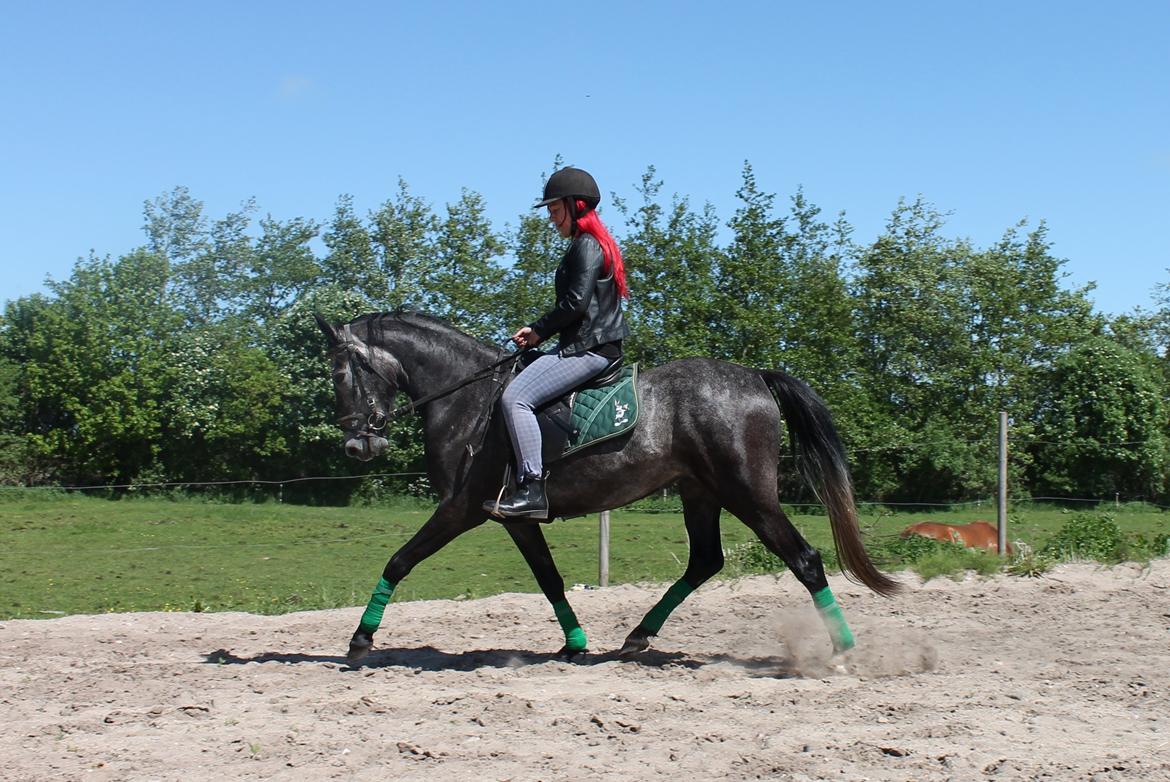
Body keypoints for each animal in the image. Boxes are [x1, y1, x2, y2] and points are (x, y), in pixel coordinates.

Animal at [315, 309, 898, 664]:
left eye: (342, 375)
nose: (356, 447)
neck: (469, 399)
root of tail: (755, 377)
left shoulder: (460, 509)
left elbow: (399, 560)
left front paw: (360, 639)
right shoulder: (513, 516)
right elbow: (549, 579)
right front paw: (574, 644)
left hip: (747, 495)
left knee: (804, 560)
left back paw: (845, 650)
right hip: (701, 493)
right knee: (705, 561)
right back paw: (637, 636)